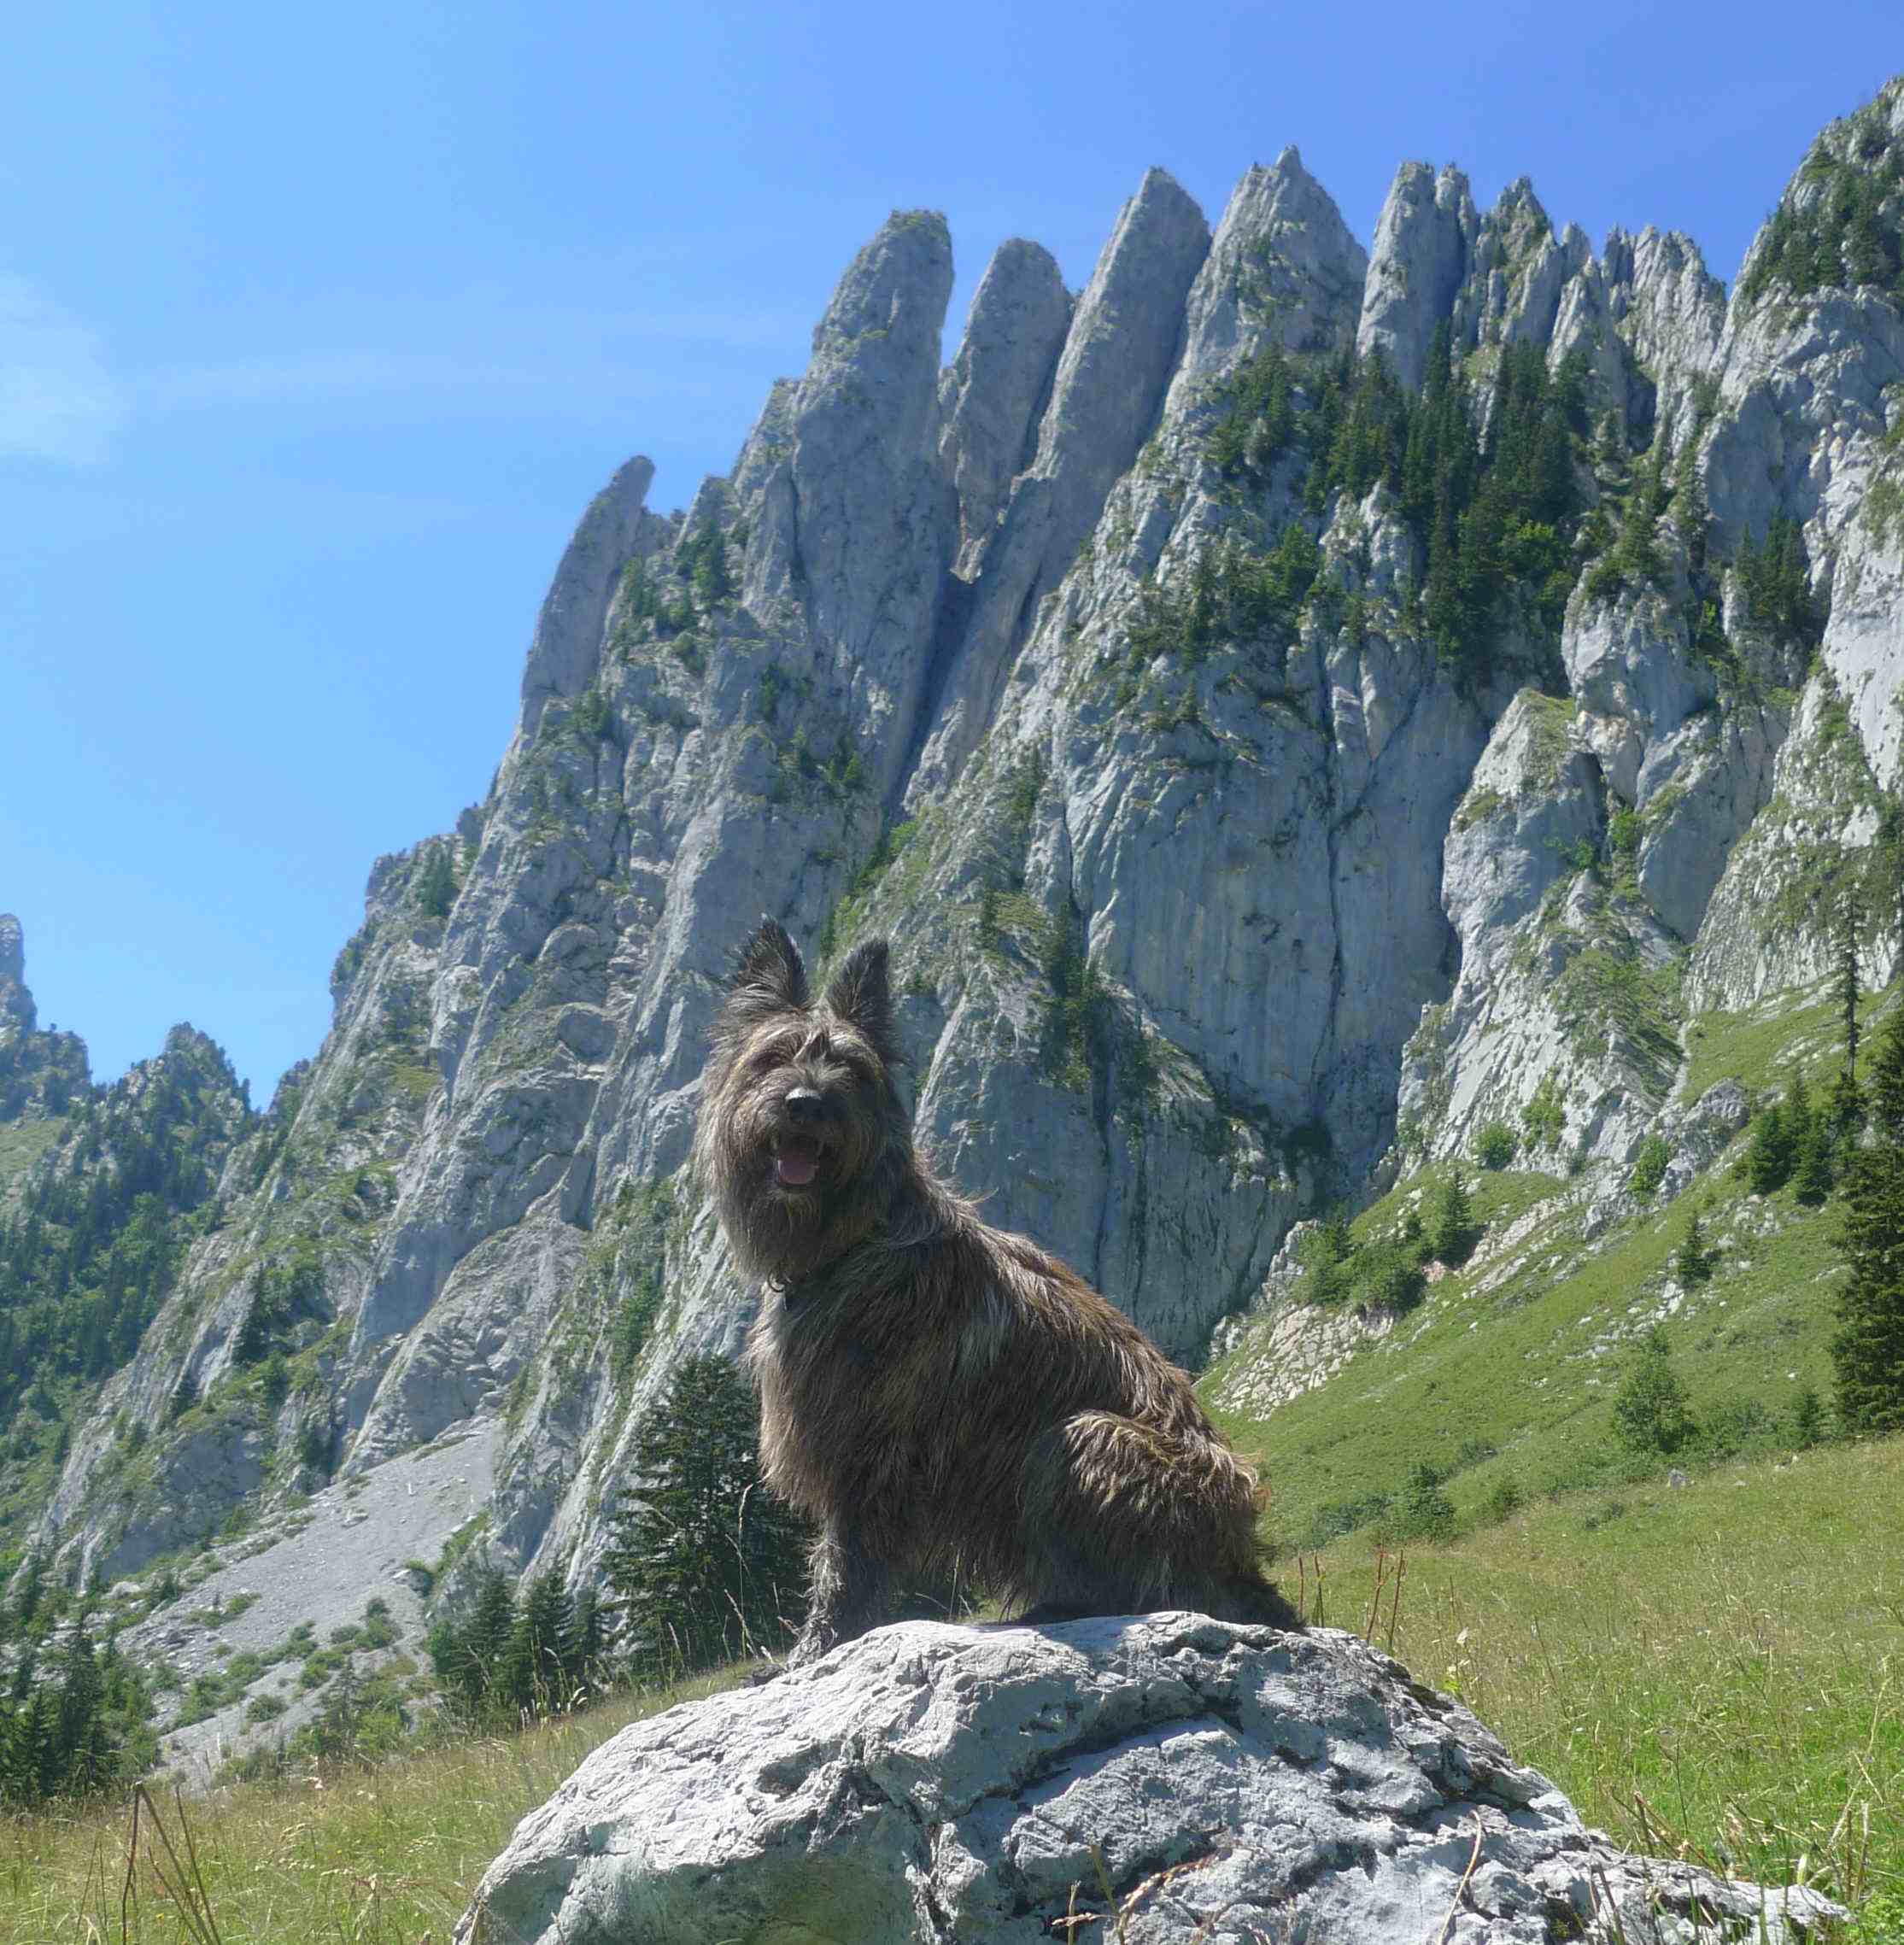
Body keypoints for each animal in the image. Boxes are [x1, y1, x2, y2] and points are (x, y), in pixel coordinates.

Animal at [692, 917, 1298, 1665]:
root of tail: (1241, 1564)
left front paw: (814, 1651)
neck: (856, 1236)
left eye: (852, 1070)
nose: (806, 1104)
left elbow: (845, 1563)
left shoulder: (868, 1452)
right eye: (772, 1057)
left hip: (1084, 1439)